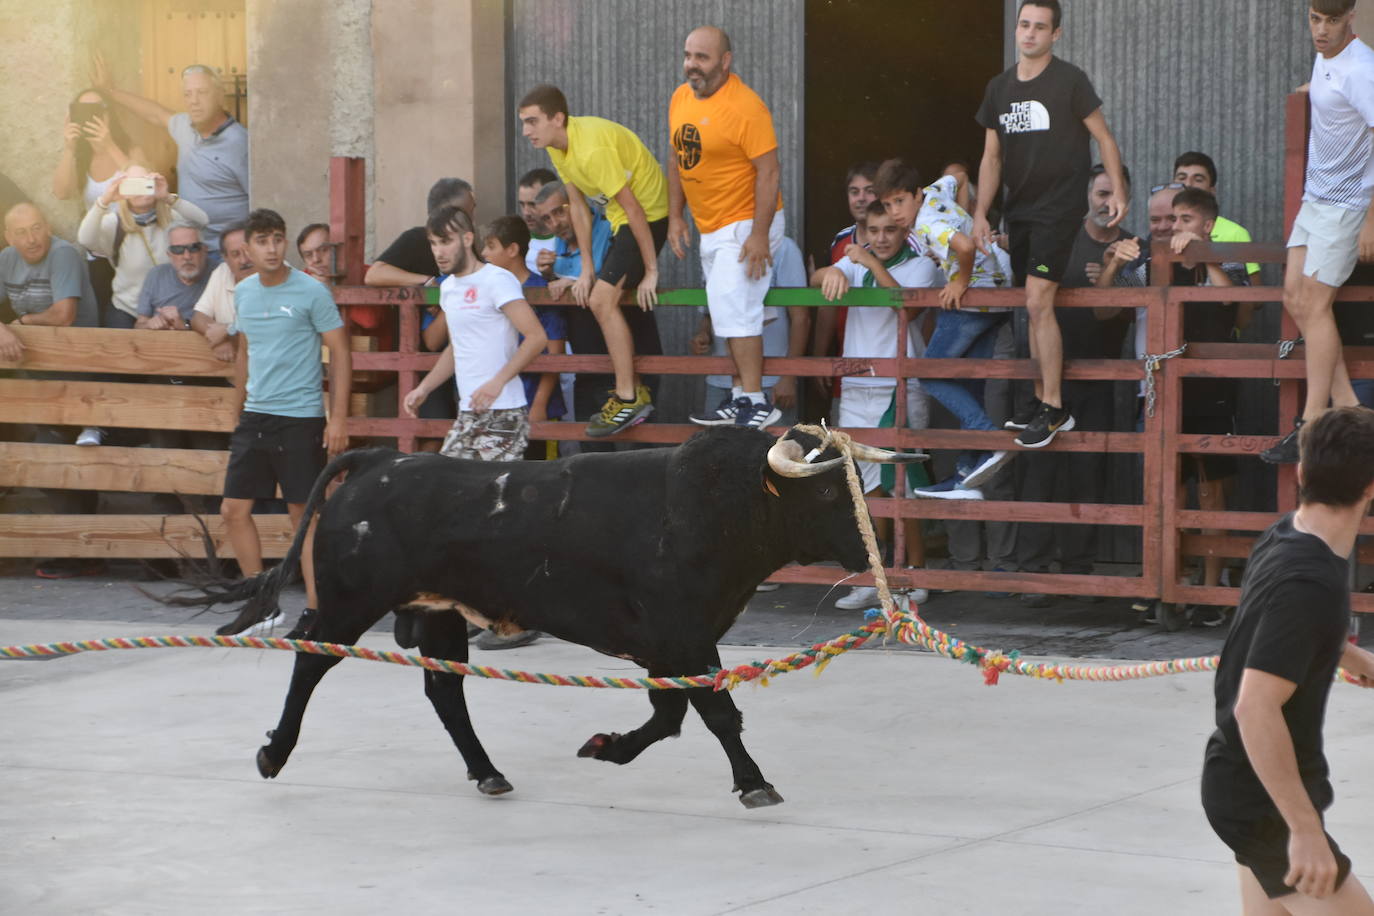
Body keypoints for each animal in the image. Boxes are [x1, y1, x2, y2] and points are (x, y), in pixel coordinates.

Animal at [214, 425, 917, 807]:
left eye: (853, 483)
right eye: (823, 491)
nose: (871, 552)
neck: (708, 511)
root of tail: (381, 459)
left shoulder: (673, 645)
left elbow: (671, 715)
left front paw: (607, 747)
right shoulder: (684, 637)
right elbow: (715, 713)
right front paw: (753, 783)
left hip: (438, 613)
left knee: (445, 690)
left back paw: (489, 773)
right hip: (347, 602)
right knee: (311, 661)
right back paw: (274, 752)